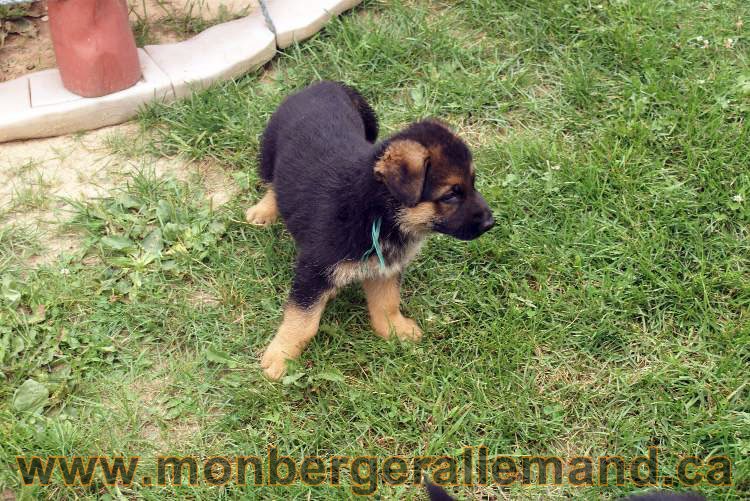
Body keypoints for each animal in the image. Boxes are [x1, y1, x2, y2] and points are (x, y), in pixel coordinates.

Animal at [245, 81, 494, 378]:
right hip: (269, 150)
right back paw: (263, 211)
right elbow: (302, 320)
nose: (491, 222)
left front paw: (395, 329)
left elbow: (387, 302)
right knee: (272, 182)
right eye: (451, 195)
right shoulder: (313, 270)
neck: (376, 211)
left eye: (473, 182)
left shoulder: (386, 268)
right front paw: (280, 356)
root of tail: (322, 84)